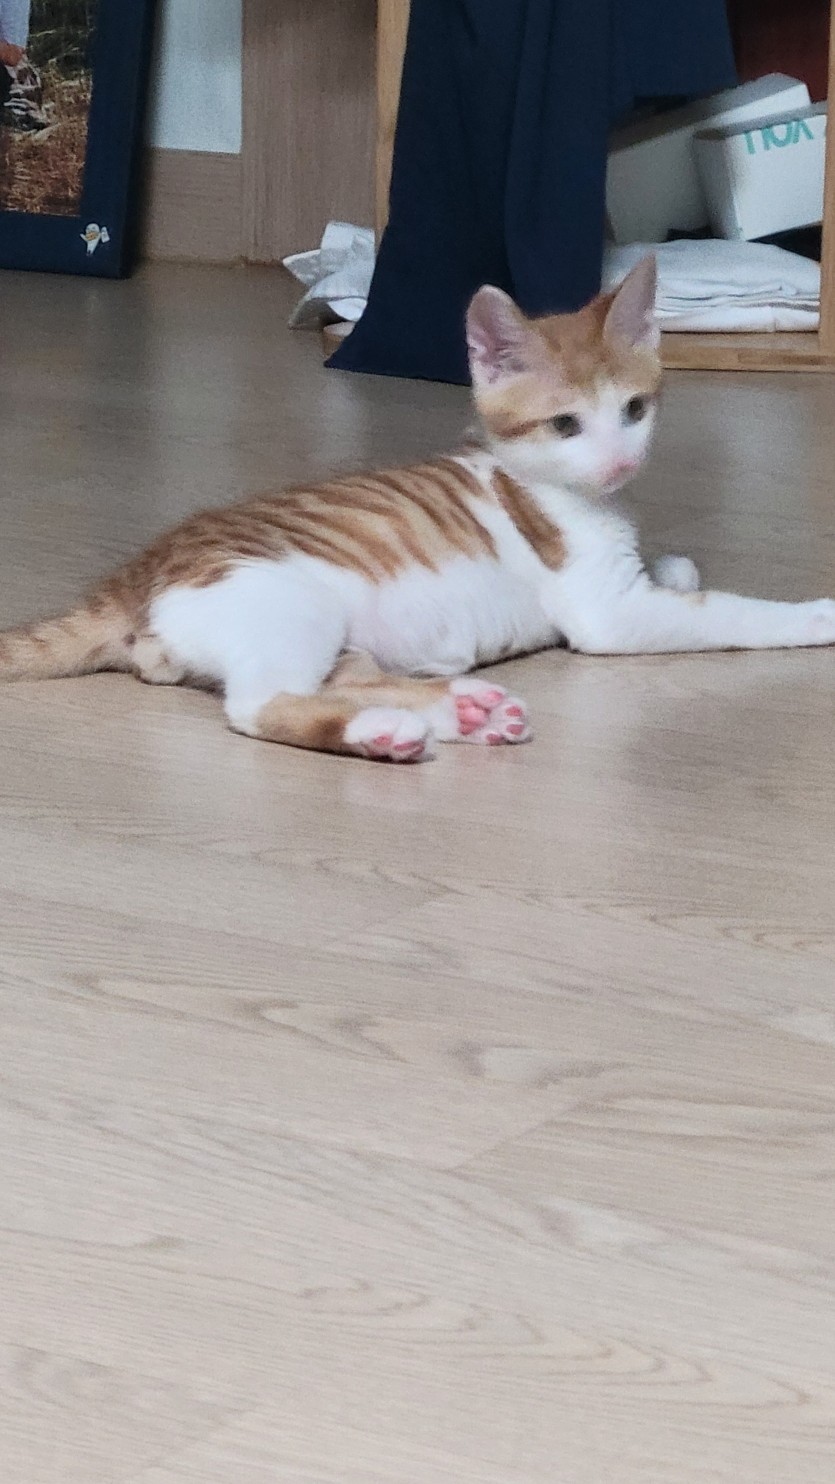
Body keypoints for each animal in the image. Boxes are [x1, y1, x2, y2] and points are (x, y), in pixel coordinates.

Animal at [1, 255, 834, 763]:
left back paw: (463, 712)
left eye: (633, 410)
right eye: (565, 425)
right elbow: (728, 612)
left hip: (329, 637)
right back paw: (386, 730)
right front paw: (810, 614)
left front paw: (675, 565)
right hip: (285, 603)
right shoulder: (608, 614)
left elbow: (675, 578)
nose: (619, 463)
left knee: (336, 680)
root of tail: (133, 574)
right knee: (261, 704)